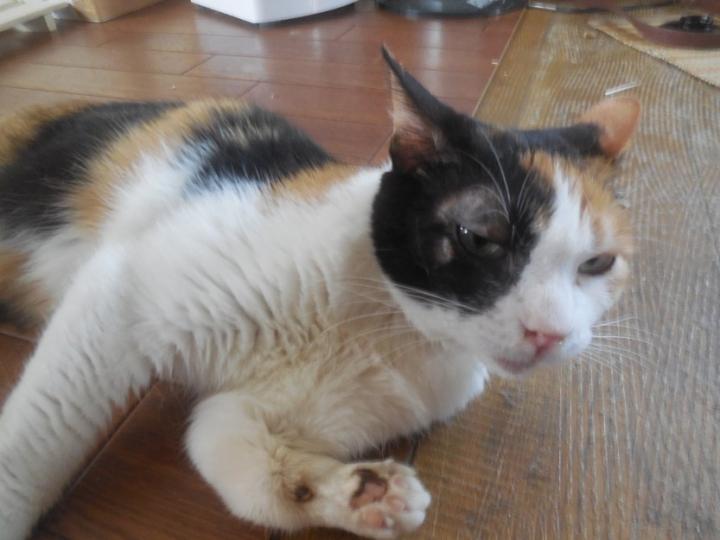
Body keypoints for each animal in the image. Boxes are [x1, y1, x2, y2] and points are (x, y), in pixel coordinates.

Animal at [0, 47, 639, 539]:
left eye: (598, 263)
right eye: (479, 238)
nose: (548, 333)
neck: (380, 321)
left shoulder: (292, 405)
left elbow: (222, 444)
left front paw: (358, 492)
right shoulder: (121, 290)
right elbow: (39, 435)